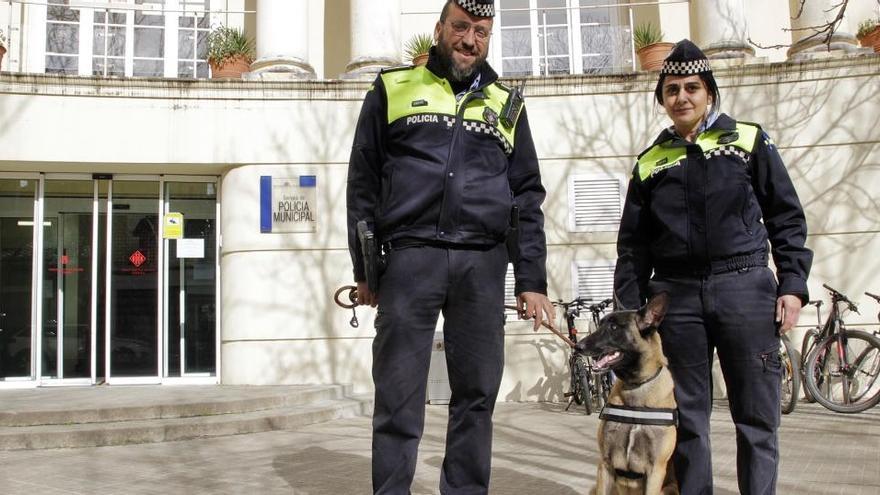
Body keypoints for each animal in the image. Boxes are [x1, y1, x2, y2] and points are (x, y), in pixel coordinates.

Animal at [576, 294, 676, 495]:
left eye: (614, 327)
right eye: (600, 325)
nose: (577, 346)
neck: (635, 387)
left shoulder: (656, 471)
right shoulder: (605, 464)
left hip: (669, 489)